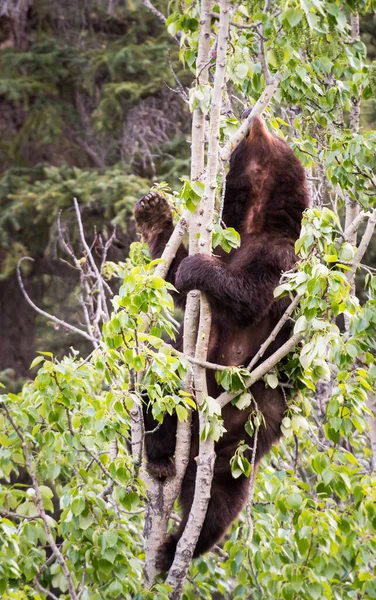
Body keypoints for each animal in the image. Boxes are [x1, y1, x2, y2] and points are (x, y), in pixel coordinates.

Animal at [134, 115, 310, 568]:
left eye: (279, 140)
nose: (256, 118)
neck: (254, 222)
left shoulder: (281, 259)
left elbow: (247, 296)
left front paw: (197, 269)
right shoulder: (225, 240)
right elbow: (173, 276)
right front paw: (154, 212)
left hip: (241, 447)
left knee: (219, 504)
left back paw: (173, 550)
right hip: (186, 400)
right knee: (157, 389)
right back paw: (160, 456)